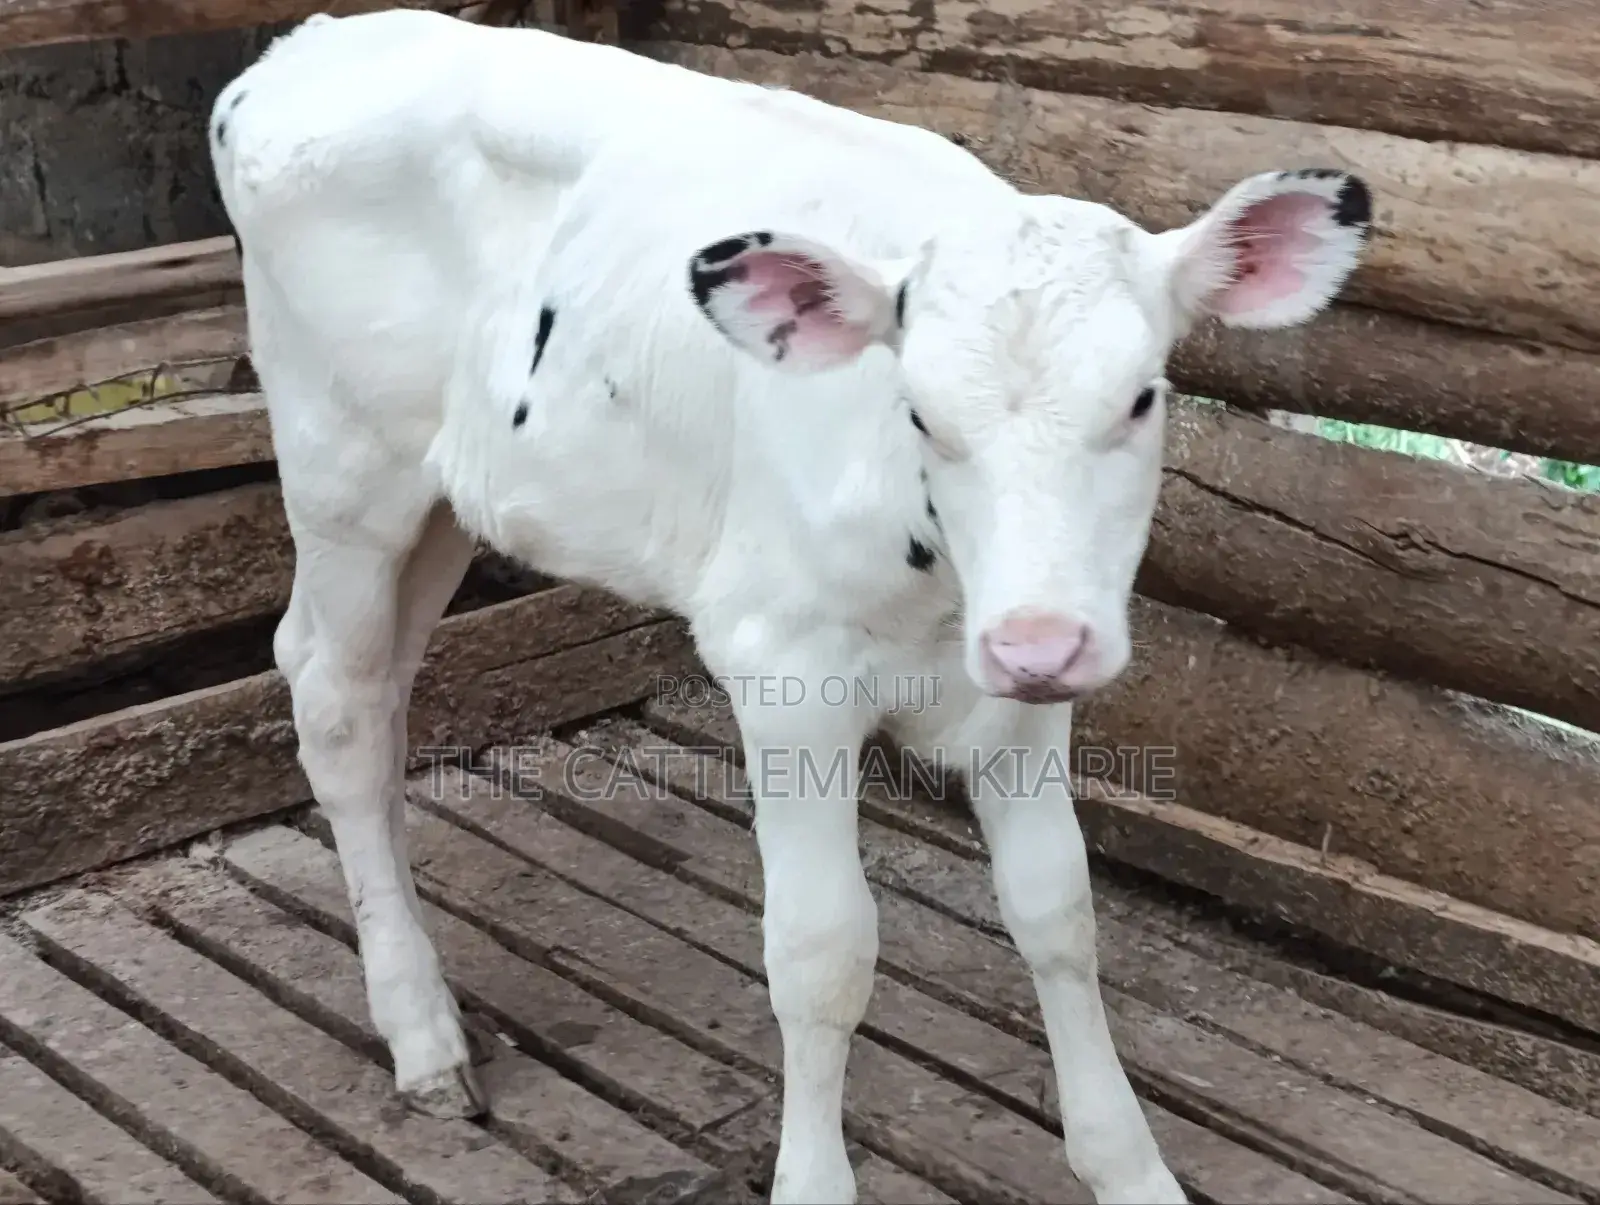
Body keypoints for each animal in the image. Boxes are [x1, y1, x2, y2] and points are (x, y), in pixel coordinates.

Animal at [210, 10, 1371, 1201]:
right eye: (920, 413)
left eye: (1141, 398)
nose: (1037, 642)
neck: (938, 591)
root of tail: (318, 40)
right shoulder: (785, 671)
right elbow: (823, 953)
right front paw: (814, 1175)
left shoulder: (1023, 688)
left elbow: (1058, 908)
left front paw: (1128, 1165)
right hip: (344, 468)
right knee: (339, 706)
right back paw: (421, 1031)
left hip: (445, 494)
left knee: (370, 684)